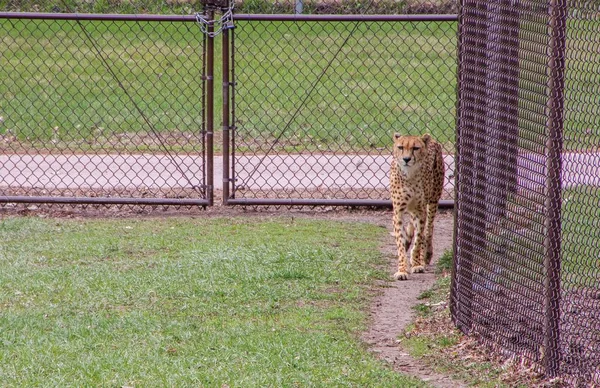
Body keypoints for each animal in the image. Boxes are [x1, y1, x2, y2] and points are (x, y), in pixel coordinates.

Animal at [390, 133, 446, 278]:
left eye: (415, 148)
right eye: (400, 147)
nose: (406, 159)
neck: (409, 175)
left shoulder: (420, 211)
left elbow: (418, 240)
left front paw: (416, 264)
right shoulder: (398, 213)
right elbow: (400, 242)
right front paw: (402, 269)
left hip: (433, 201)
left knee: (429, 229)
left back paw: (425, 255)